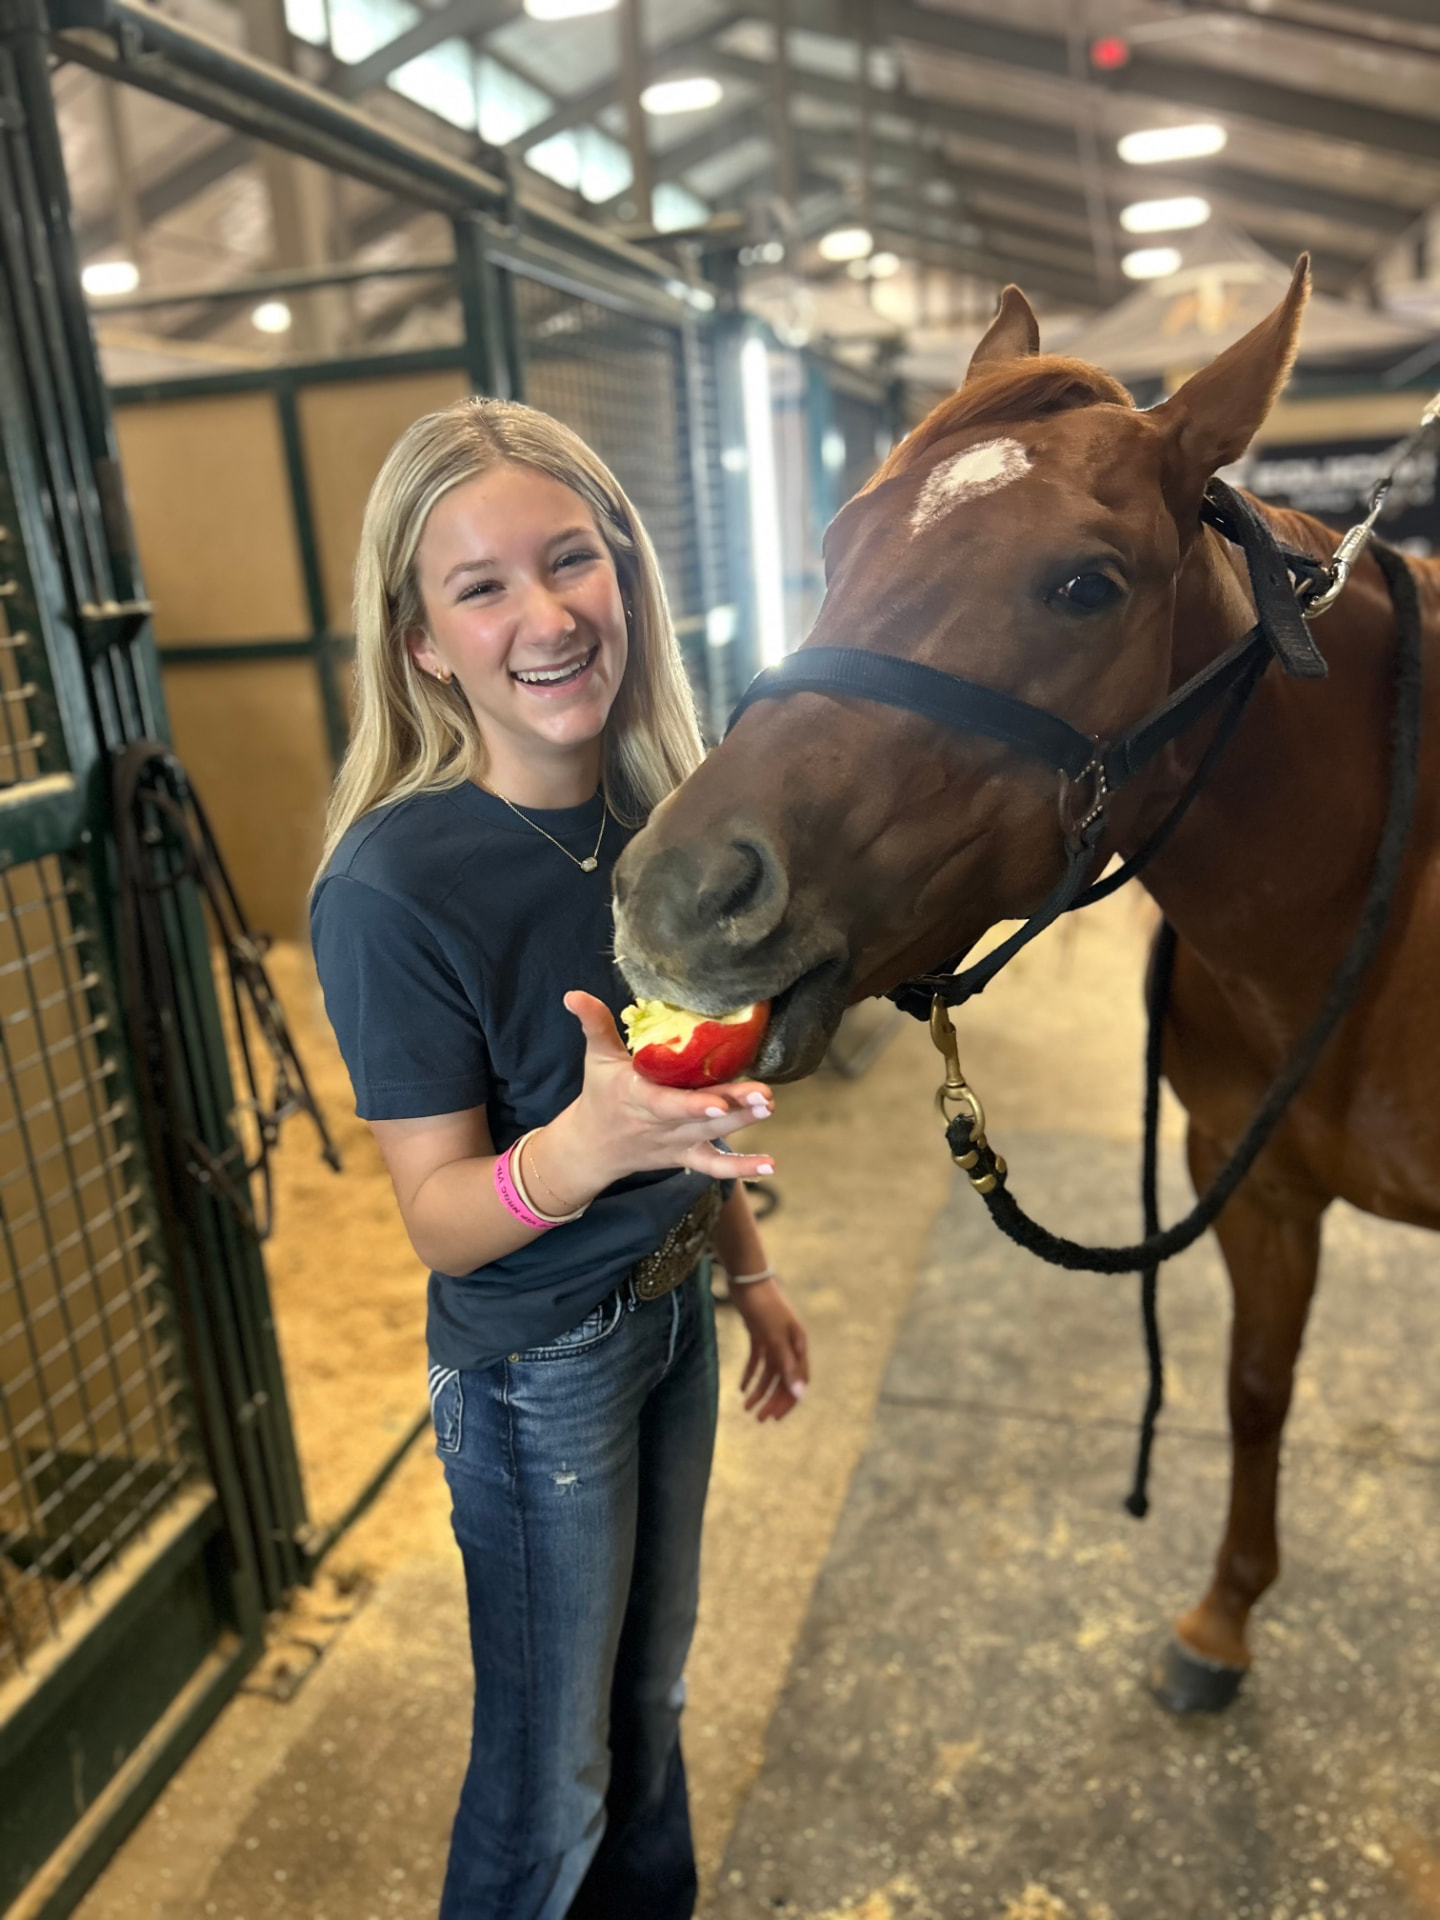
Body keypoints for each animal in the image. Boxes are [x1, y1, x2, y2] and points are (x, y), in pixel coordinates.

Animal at [612, 259, 1440, 1710]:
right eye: (836, 543)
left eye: (1084, 586)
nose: (682, 894)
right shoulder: (1258, 1187)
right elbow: (1254, 1387)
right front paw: (1223, 1619)